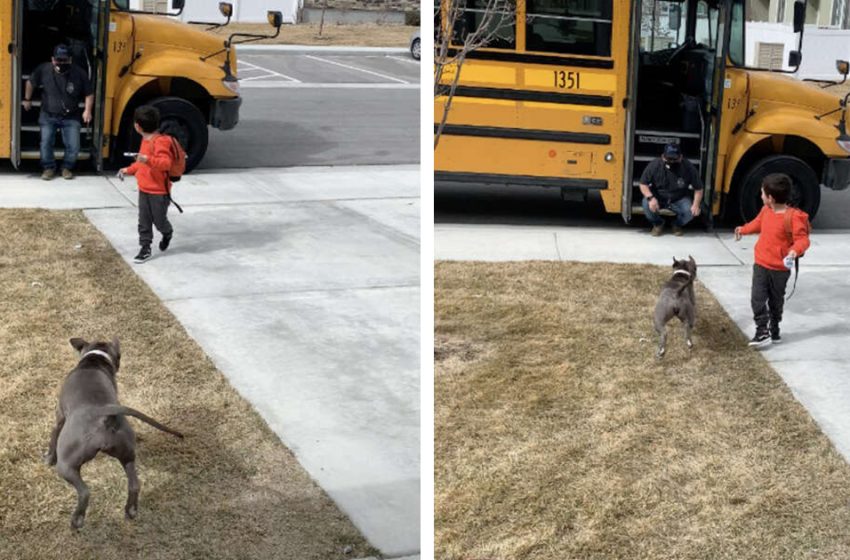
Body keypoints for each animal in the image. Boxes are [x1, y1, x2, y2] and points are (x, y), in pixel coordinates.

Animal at [46, 336, 182, 528]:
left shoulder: (59, 416)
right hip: (126, 454)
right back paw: (131, 510)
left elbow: (53, 436)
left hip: (66, 464)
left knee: (85, 491)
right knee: (134, 484)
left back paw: (77, 520)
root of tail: (104, 414)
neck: (95, 359)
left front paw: (48, 458)